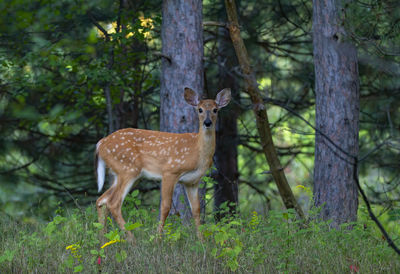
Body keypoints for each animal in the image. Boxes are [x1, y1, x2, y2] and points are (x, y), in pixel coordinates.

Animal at [94, 86, 231, 241]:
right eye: (200, 109)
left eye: (215, 109)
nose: (207, 123)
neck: (197, 151)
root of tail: (100, 144)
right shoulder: (170, 171)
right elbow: (165, 207)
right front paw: (158, 239)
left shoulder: (192, 181)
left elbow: (196, 209)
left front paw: (201, 240)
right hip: (127, 169)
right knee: (113, 203)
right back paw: (132, 239)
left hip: (122, 173)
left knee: (102, 200)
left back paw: (102, 238)